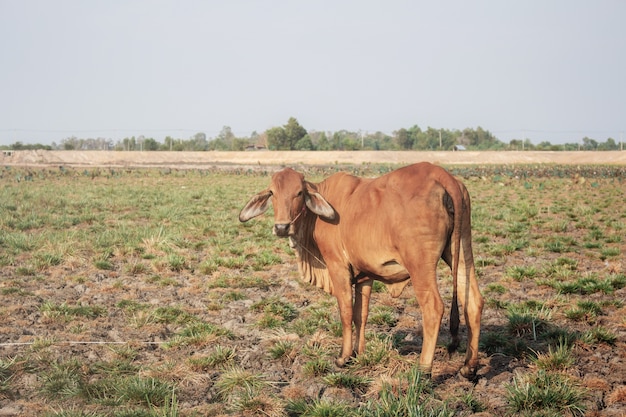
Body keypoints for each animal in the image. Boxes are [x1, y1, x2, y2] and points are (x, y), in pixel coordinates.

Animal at [239, 161, 482, 378]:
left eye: (299, 192)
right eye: (272, 193)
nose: (282, 227)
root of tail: (442, 176)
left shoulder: (337, 267)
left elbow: (346, 312)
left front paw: (343, 357)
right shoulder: (365, 276)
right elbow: (361, 315)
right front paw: (359, 353)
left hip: (420, 265)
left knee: (433, 308)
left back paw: (423, 370)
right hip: (460, 252)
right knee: (473, 301)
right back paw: (468, 367)